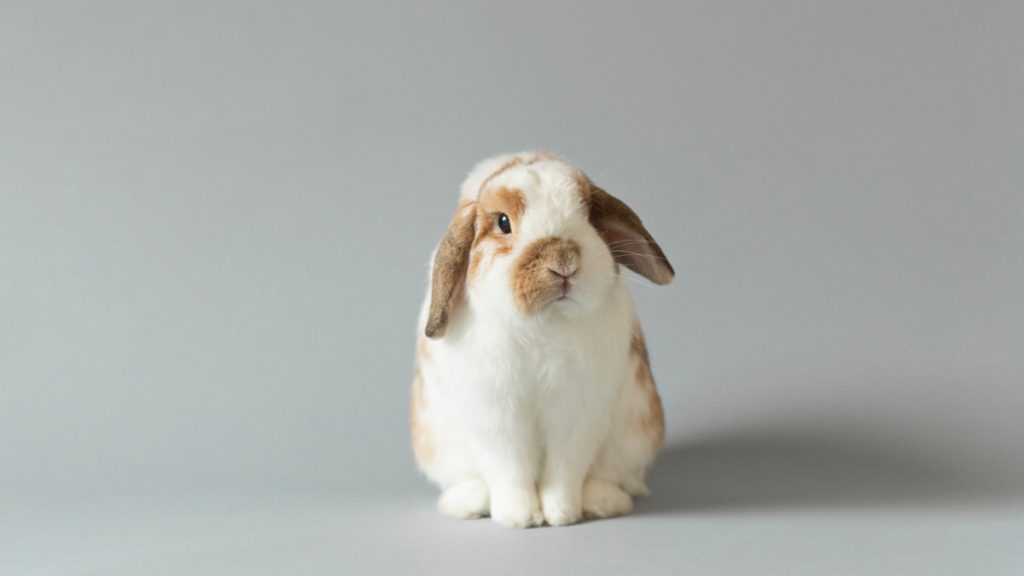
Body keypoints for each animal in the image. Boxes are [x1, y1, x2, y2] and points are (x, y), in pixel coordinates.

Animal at [411, 152, 674, 528]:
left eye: (588, 214)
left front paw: (561, 514)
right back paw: (468, 503)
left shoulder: (577, 414)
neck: (545, 322)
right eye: (503, 222)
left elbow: (565, 470)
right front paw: (519, 518)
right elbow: (511, 469)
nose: (564, 261)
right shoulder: (499, 415)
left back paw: (602, 500)